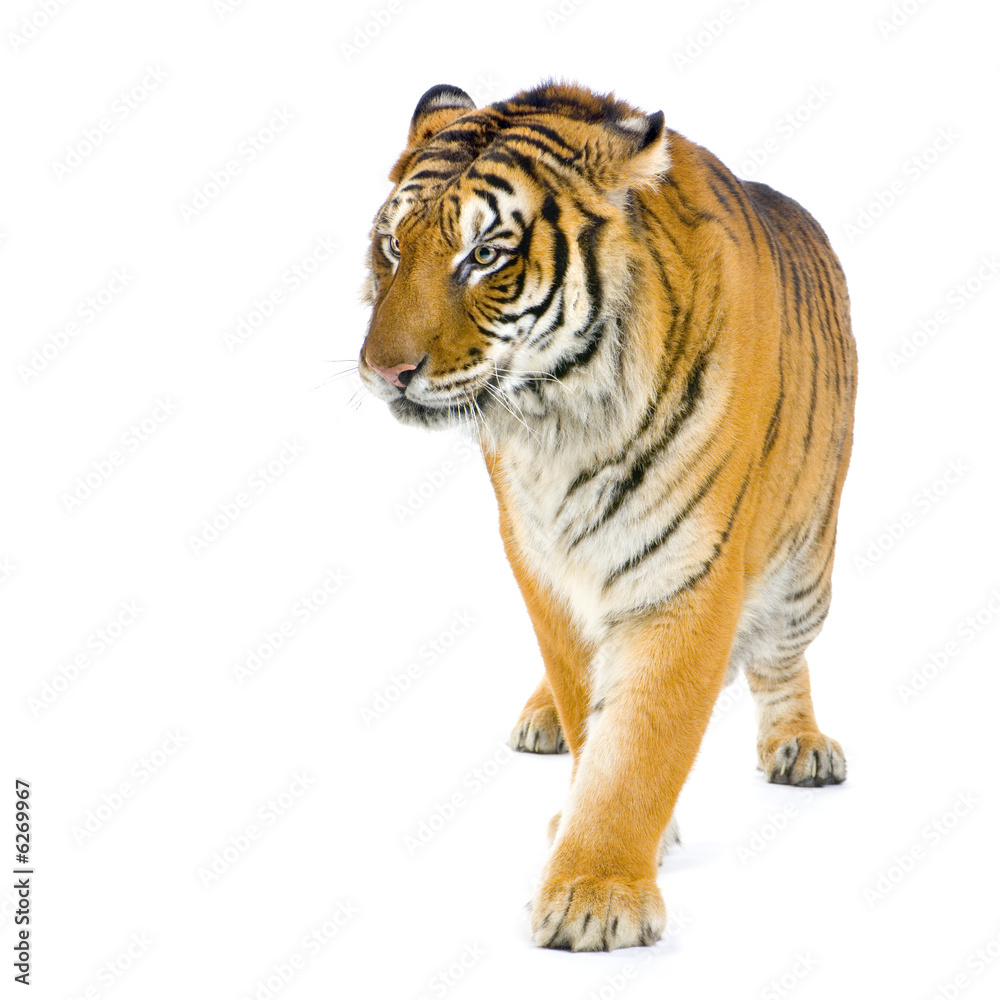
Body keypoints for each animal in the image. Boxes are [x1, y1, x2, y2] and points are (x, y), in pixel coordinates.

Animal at [357, 81, 857, 952]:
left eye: (483, 256)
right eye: (391, 247)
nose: (384, 371)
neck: (559, 421)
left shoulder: (688, 572)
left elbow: (641, 742)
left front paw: (597, 894)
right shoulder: (540, 558)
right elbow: (587, 704)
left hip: (805, 571)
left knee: (780, 659)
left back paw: (799, 744)